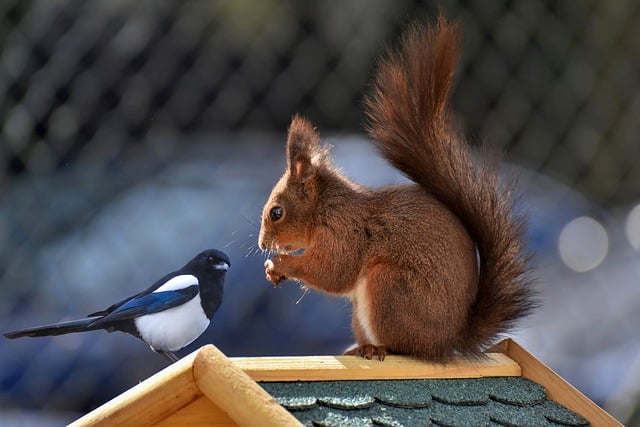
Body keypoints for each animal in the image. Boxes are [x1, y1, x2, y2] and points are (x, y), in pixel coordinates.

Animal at [258, 16, 535, 361]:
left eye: (276, 212)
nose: (262, 244)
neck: (326, 207)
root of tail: (448, 342)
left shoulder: (346, 233)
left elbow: (334, 272)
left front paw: (281, 264)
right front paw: (273, 270)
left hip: (390, 286)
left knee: (404, 347)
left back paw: (377, 348)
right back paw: (359, 348)